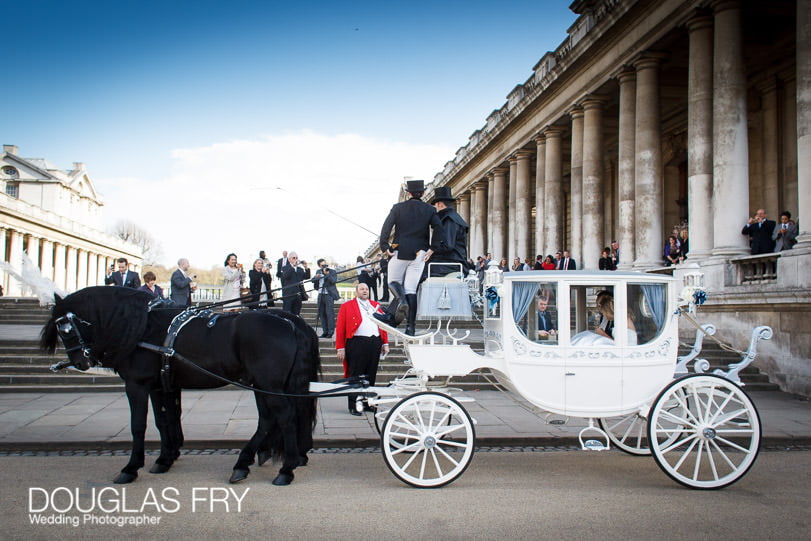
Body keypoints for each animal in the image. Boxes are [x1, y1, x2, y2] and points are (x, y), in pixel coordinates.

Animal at [40, 286, 320, 486]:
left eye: (65, 328)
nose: (80, 361)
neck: (142, 328)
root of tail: (291, 324)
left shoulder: (137, 384)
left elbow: (138, 425)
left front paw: (131, 467)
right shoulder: (162, 385)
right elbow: (165, 420)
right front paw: (166, 457)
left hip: (268, 383)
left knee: (285, 416)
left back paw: (285, 469)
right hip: (263, 383)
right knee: (269, 419)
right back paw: (246, 463)